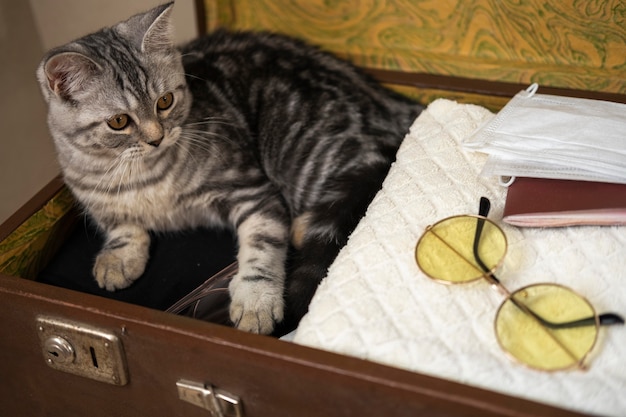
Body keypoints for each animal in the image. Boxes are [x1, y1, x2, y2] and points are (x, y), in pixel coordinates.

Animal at [36, 2, 422, 334]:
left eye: (165, 101)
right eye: (118, 121)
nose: (157, 138)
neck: (145, 176)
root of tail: (392, 109)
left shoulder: (252, 188)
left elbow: (263, 243)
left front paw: (256, 300)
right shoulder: (89, 194)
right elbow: (119, 223)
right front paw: (117, 257)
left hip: (298, 148)